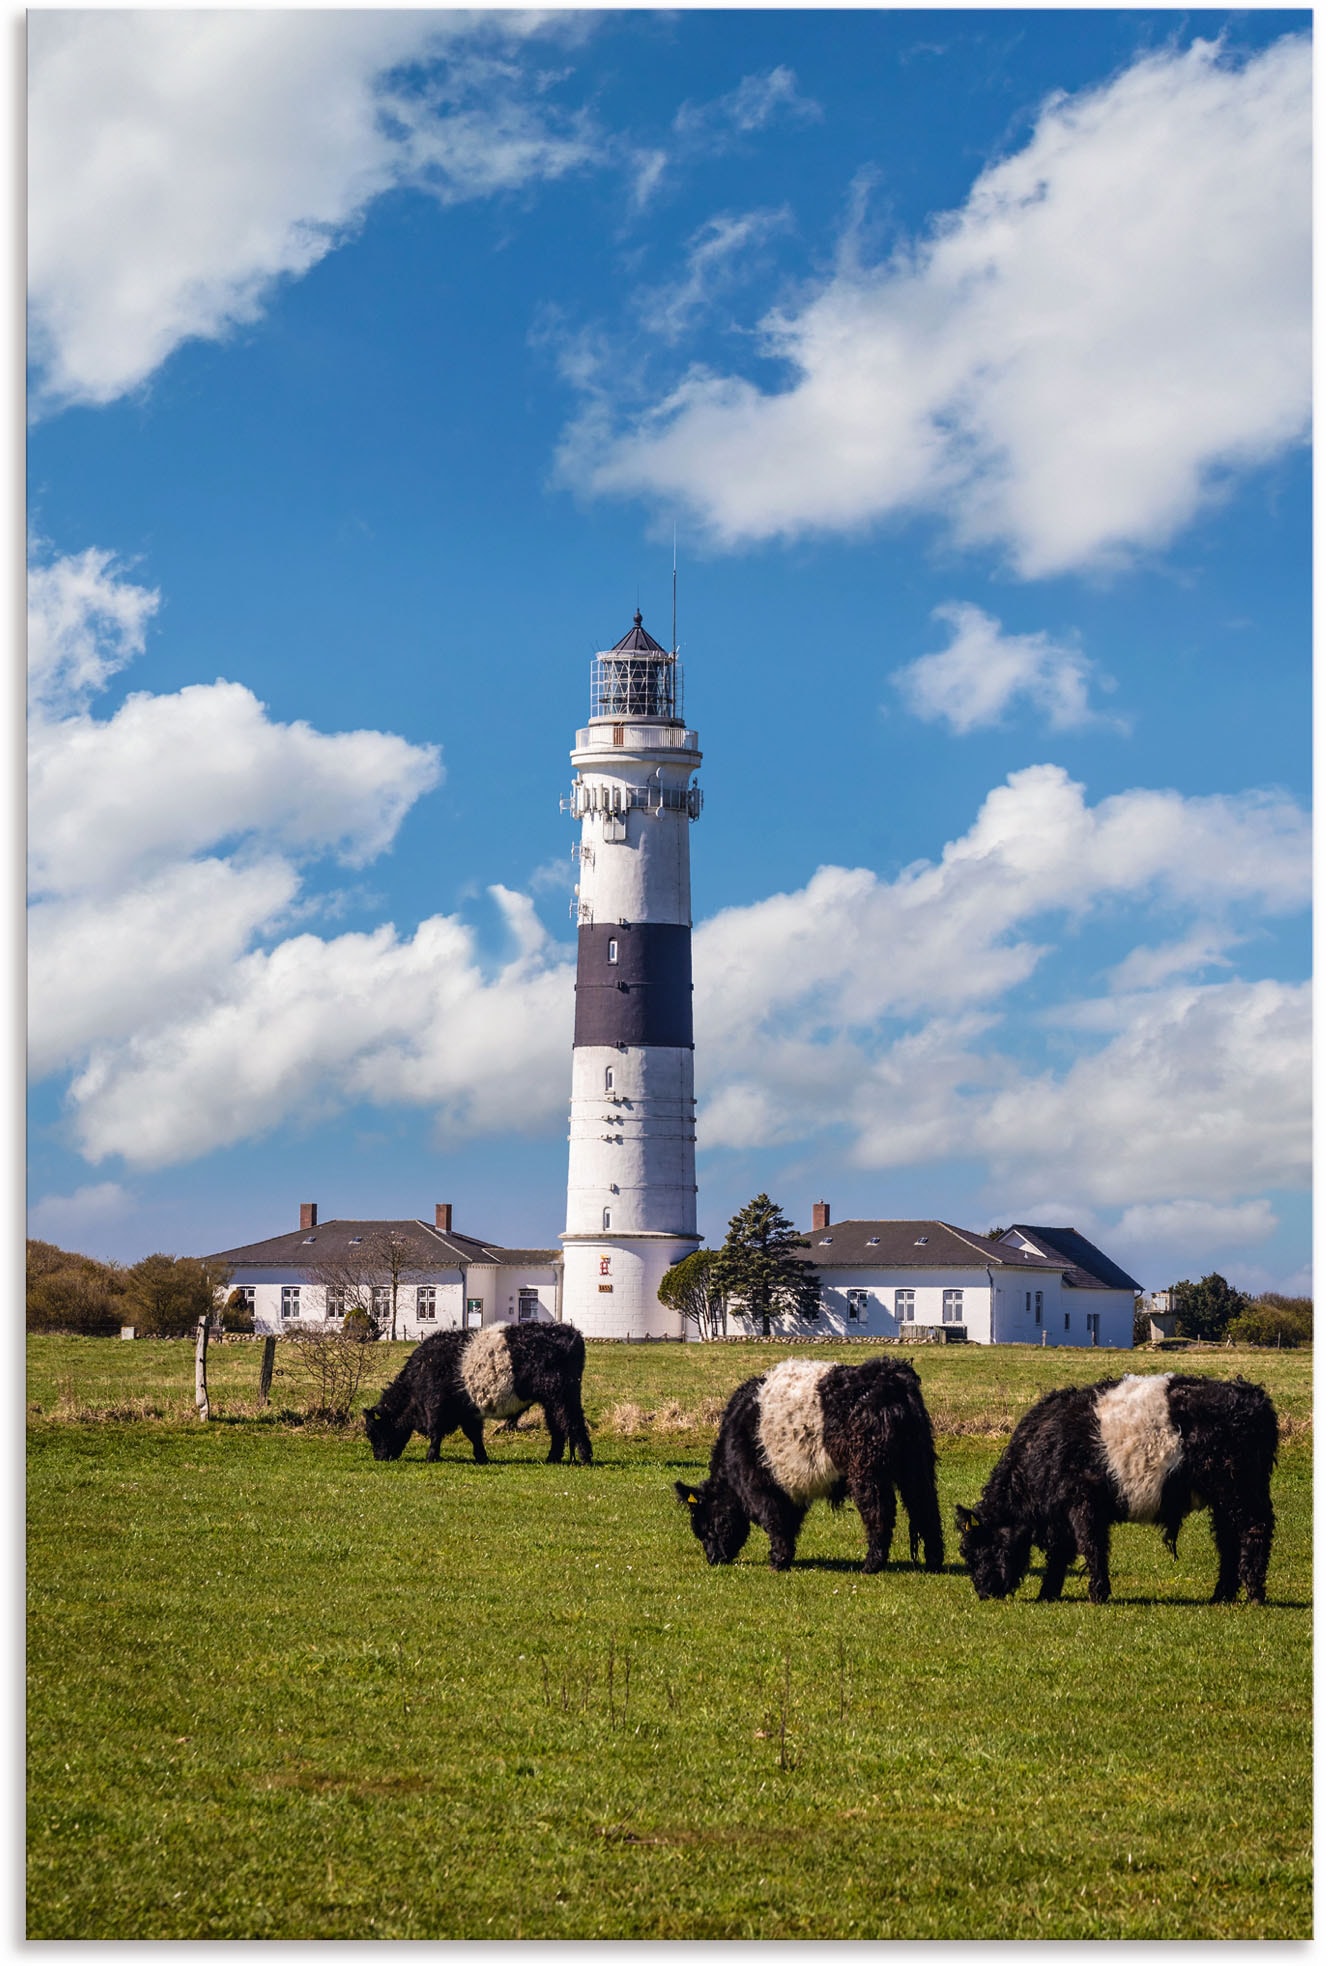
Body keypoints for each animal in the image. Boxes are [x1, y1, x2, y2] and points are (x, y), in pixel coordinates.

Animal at [363, 1321, 594, 1462]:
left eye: (374, 1432)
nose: (379, 1457)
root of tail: (572, 1332)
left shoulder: (436, 1408)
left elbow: (436, 1433)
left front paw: (431, 1457)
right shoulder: (468, 1411)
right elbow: (474, 1435)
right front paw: (482, 1457)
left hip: (562, 1396)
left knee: (572, 1423)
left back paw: (585, 1458)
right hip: (551, 1400)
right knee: (558, 1426)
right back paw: (552, 1458)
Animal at [676, 1360, 944, 1572]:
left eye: (708, 1526)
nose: (714, 1558)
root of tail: (890, 1374)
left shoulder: (761, 1486)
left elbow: (774, 1520)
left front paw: (778, 1561)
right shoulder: (790, 1488)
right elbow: (788, 1522)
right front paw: (785, 1557)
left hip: (867, 1470)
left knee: (880, 1512)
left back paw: (871, 1564)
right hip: (917, 1463)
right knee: (926, 1506)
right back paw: (934, 1562)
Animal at [956, 1376, 1274, 1604]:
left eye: (984, 1547)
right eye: (967, 1555)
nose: (984, 1591)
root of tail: (1251, 1393)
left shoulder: (1083, 1504)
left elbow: (1091, 1546)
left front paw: (1098, 1593)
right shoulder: (1062, 1516)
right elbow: (1061, 1555)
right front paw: (1048, 1593)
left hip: (1240, 1492)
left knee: (1254, 1531)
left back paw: (1255, 1594)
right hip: (1224, 1499)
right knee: (1228, 1541)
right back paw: (1222, 1595)